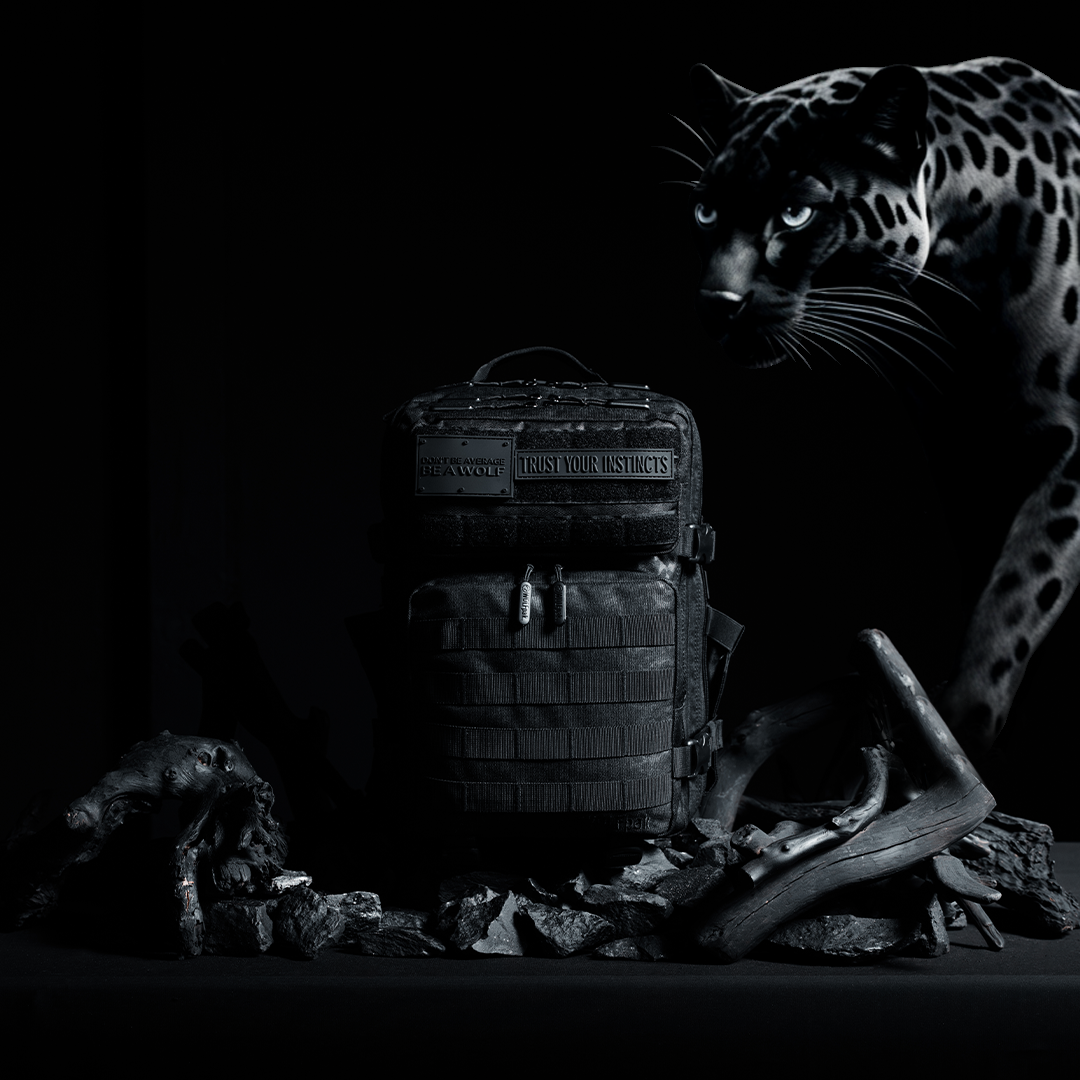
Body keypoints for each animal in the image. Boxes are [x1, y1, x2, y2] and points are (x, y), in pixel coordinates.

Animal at [675, 57, 1079, 759]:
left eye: (796, 214)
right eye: (706, 210)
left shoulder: (1063, 448)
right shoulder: (963, 456)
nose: (716, 303)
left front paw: (960, 724)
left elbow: (1020, 583)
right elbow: (991, 575)